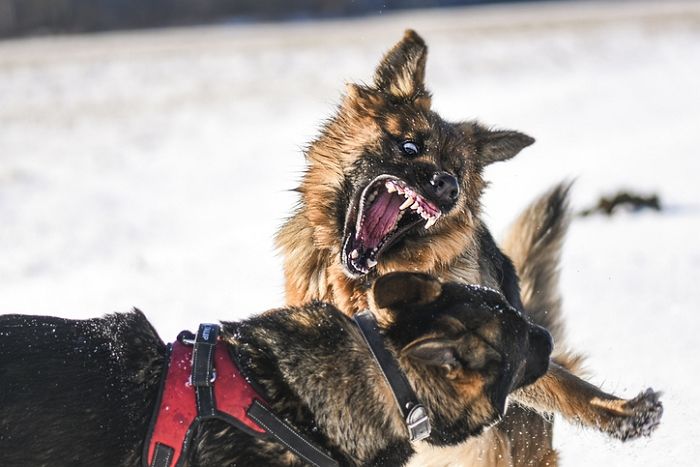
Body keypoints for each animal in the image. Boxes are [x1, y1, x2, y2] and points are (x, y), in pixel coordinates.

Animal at [276, 31, 664, 466]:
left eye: (459, 172)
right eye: (409, 147)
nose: (448, 185)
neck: (365, 283)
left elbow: (561, 382)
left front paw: (621, 413)